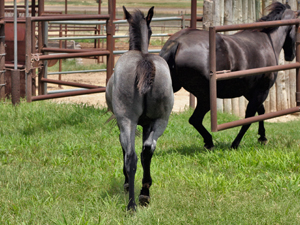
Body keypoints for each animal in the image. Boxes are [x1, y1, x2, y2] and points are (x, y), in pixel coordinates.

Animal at [106, 6, 175, 211]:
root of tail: (144, 60)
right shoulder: (147, 125)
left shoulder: (123, 123)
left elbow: (123, 148)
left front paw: (126, 183)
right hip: (161, 121)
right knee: (147, 150)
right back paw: (144, 192)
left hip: (127, 120)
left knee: (131, 156)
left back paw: (131, 204)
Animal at [161, 2, 298, 149]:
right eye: (297, 28)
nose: (291, 55)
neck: (267, 41)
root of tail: (177, 43)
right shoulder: (262, 91)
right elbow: (250, 117)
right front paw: (236, 143)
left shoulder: (250, 92)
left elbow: (261, 112)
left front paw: (262, 137)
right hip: (206, 98)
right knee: (195, 120)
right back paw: (209, 142)